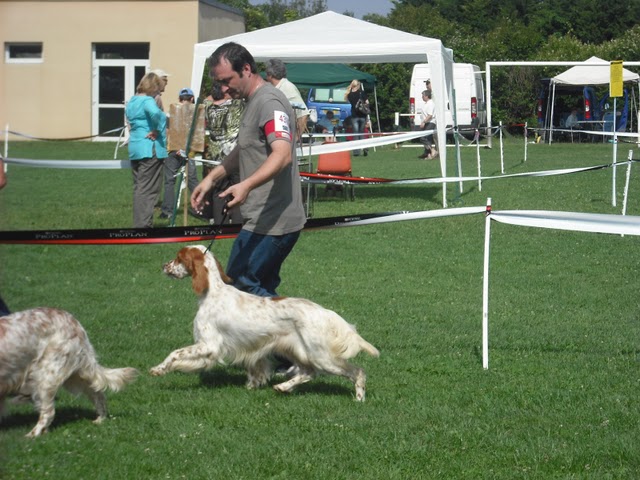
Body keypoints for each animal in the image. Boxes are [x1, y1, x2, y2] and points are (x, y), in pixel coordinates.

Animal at [0, 308, 138, 438]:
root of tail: (74, 322)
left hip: (48, 374)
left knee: (48, 412)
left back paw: (33, 434)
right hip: (75, 374)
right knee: (97, 392)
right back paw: (100, 419)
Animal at [150, 246, 380, 400]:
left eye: (178, 258)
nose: (163, 265)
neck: (212, 292)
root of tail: (324, 312)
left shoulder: (209, 345)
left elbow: (175, 353)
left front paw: (159, 369)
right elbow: (256, 369)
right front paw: (252, 385)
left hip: (321, 356)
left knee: (357, 371)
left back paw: (359, 398)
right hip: (298, 351)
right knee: (309, 372)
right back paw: (283, 387)